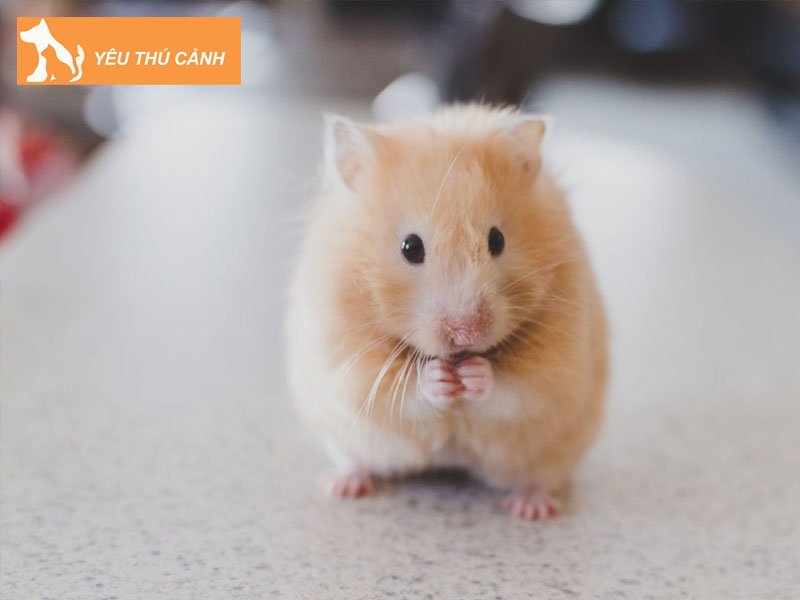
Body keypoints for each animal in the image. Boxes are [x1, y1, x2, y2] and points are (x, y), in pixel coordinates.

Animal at [286, 105, 608, 520]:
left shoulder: (558, 366)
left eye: (497, 240)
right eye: (410, 247)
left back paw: (531, 509)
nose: (466, 334)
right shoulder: (345, 361)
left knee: (538, 477)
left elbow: (516, 389)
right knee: (356, 461)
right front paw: (439, 377)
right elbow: (398, 390)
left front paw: (474, 374)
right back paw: (342, 486)